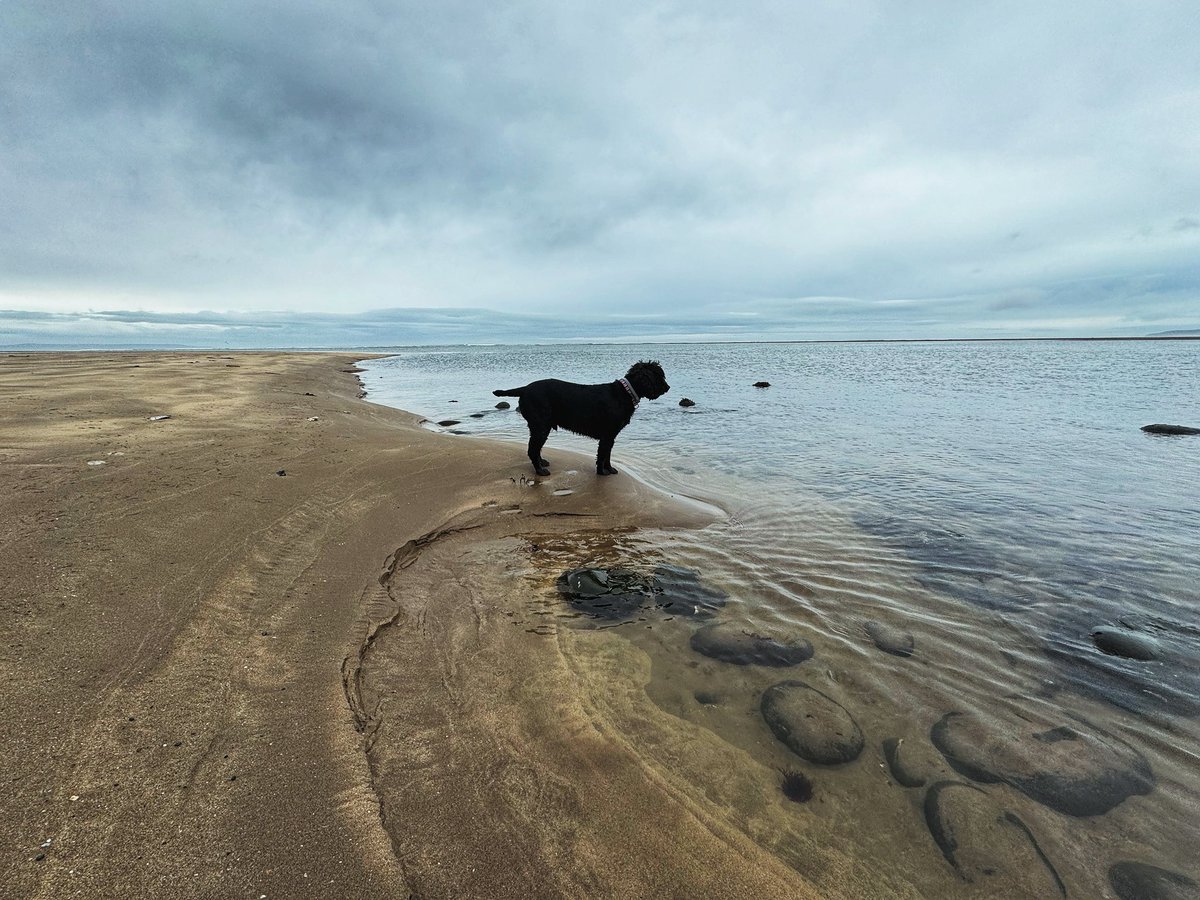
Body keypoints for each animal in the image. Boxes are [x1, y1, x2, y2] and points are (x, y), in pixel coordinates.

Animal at [492, 362, 672, 480]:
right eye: (659, 376)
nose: (668, 388)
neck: (624, 393)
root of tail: (525, 389)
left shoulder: (611, 436)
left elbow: (608, 454)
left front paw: (609, 469)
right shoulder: (607, 435)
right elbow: (602, 455)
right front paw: (602, 472)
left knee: (536, 449)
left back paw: (542, 463)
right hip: (541, 427)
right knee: (532, 449)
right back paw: (540, 471)